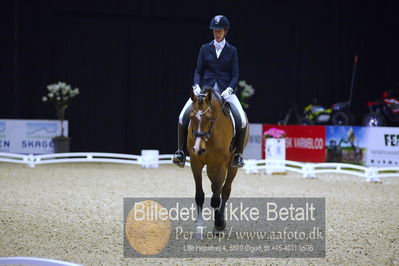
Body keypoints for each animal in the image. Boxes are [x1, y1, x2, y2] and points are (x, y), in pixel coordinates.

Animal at [188, 87, 250, 233]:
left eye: (209, 118)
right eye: (191, 117)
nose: (198, 148)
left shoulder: (221, 164)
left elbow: (217, 197)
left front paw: (219, 223)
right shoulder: (195, 164)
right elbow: (199, 195)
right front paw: (200, 226)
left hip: (231, 165)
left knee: (225, 190)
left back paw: (220, 220)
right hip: (211, 166)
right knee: (215, 186)